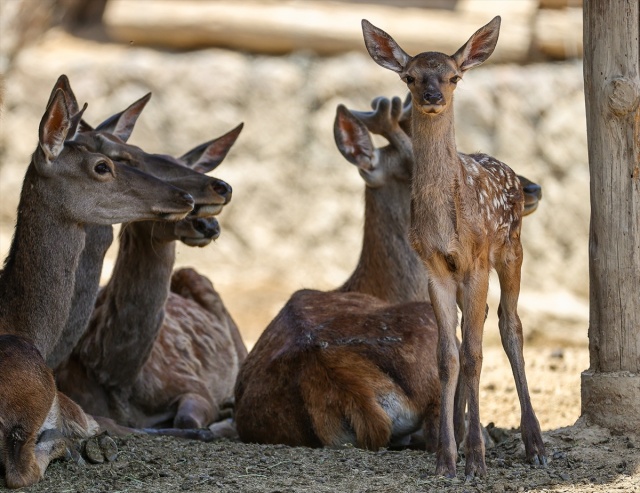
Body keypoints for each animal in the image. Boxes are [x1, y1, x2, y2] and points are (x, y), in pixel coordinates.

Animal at [362, 16, 548, 476]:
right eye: (410, 77)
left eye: (454, 76)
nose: (432, 97)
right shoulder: (435, 267)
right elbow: (447, 357)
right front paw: (447, 457)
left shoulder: (477, 260)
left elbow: (475, 354)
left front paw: (476, 460)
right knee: (474, 329)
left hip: (512, 249)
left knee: (510, 325)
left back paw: (535, 445)